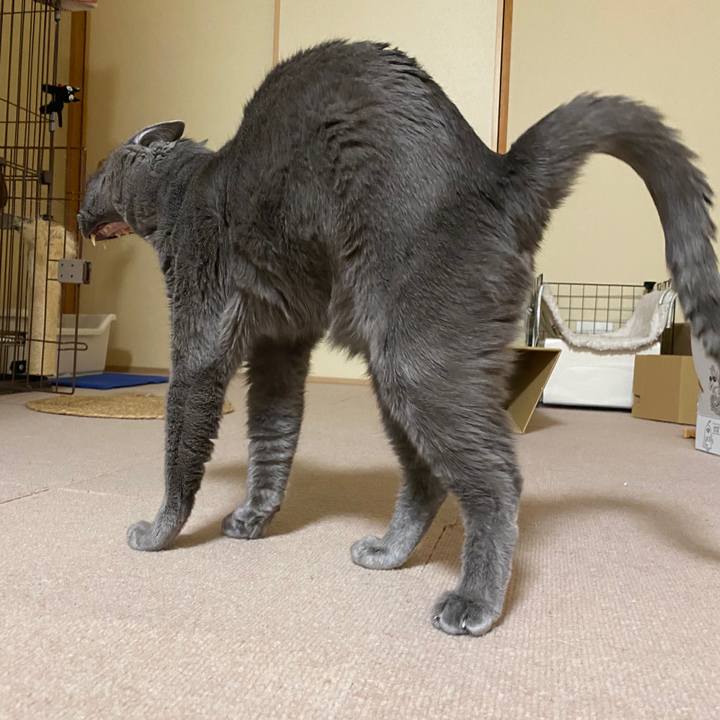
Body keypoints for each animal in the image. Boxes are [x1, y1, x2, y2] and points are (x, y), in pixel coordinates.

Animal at [78, 41, 719, 636]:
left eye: (95, 174)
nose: (79, 210)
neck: (180, 191)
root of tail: (497, 172)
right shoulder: (280, 346)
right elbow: (273, 434)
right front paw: (253, 518)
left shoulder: (201, 337)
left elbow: (181, 443)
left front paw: (158, 531)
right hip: (395, 372)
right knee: (429, 477)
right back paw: (387, 552)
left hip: (415, 362)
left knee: (497, 480)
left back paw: (473, 603)